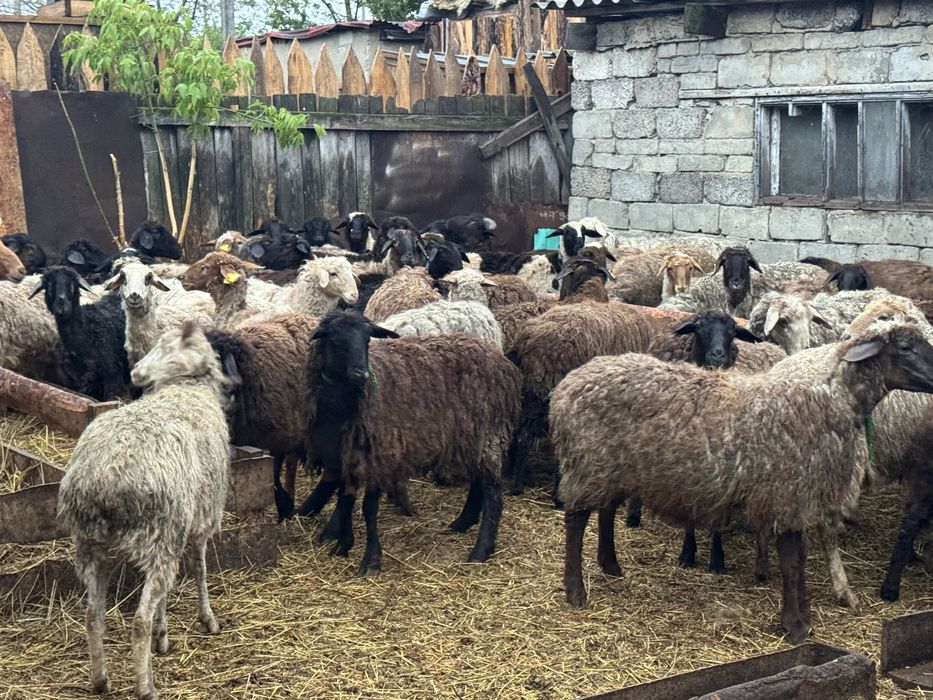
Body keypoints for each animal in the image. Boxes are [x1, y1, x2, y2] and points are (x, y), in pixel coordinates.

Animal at [58, 321, 230, 699]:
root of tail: (103, 479)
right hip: (159, 537)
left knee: (93, 615)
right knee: (138, 621)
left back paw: (101, 680)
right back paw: (145, 686)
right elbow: (201, 570)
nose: (135, 372)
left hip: (92, 547)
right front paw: (206, 619)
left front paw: (162, 637)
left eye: (163, 347)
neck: (185, 387)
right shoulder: (201, 520)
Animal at [296, 310, 521, 574]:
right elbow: (346, 499)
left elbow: (368, 508)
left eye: (367, 339)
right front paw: (343, 545)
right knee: (479, 481)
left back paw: (481, 550)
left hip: (487, 431)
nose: (361, 374)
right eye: (334, 338)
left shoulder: (380, 453)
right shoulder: (344, 455)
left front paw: (371, 559)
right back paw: (462, 522)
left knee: (493, 493)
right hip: (471, 435)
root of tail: (503, 364)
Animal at [551, 325, 933, 642]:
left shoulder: (798, 497)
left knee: (605, 511)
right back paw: (576, 592)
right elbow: (792, 562)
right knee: (576, 519)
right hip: (589, 462)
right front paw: (795, 627)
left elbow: (800, 559)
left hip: (613, 467)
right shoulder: (786, 493)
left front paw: (804, 616)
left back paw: (611, 566)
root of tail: (568, 385)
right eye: (904, 348)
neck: (827, 402)